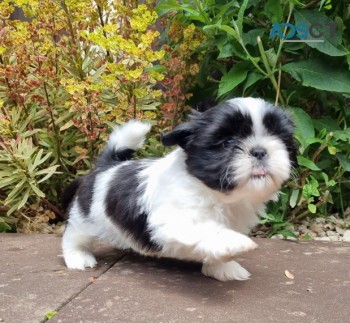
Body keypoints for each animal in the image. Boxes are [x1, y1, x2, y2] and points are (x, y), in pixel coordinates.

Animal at [62, 97, 296, 282]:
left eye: (278, 138)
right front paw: (233, 242)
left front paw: (223, 267)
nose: (260, 151)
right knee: (74, 235)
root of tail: (106, 166)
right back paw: (78, 256)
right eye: (228, 142)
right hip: (86, 217)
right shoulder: (171, 218)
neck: (219, 196)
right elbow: (206, 228)